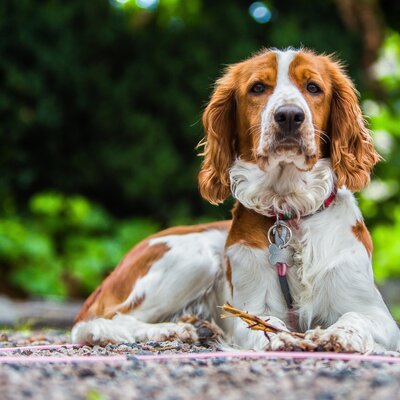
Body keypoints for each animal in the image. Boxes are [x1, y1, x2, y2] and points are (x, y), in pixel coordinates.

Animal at [72, 48, 400, 353]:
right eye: (257, 87)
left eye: (313, 87)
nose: (289, 116)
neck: (290, 212)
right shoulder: (250, 309)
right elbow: (267, 322)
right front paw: (281, 338)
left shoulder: (377, 314)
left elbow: (356, 317)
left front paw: (338, 335)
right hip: (195, 258)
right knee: (99, 322)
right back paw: (173, 330)